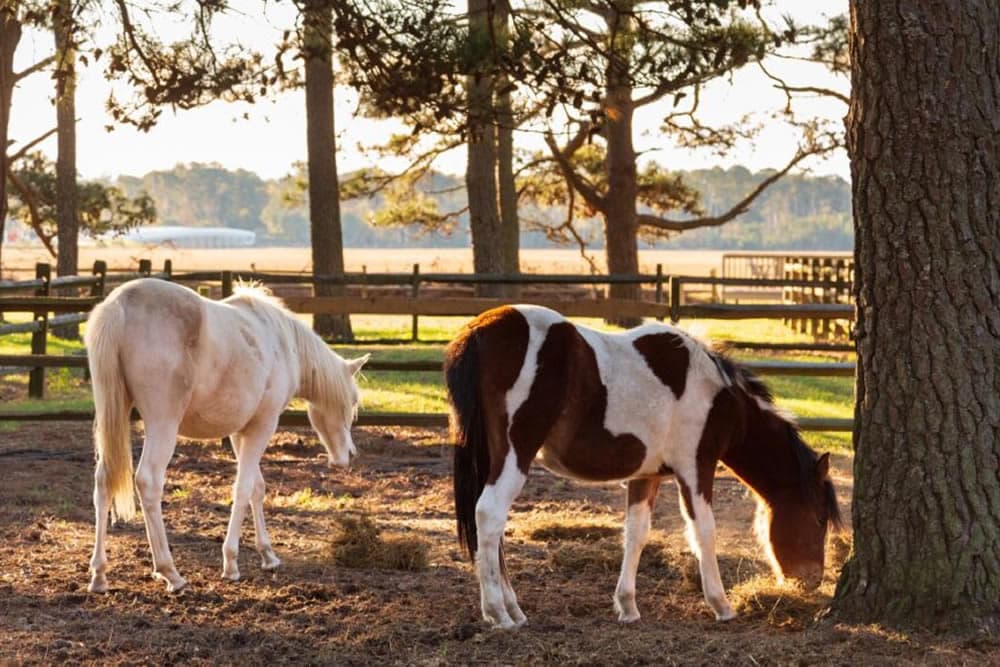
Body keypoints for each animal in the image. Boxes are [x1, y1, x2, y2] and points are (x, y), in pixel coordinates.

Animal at [84, 279, 368, 594]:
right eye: (352, 402)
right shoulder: (263, 426)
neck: (284, 344)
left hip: (115, 413)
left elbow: (257, 487)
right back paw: (170, 573)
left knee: (103, 480)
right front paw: (231, 563)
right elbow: (242, 489)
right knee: (148, 481)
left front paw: (268, 555)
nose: (347, 455)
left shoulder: (239, 433)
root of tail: (120, 304)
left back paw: (99, 575)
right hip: (162, 423)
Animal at [445, 305, 841, 629]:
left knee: (492, 526)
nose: (812, 580)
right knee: (489, 514)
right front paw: (722, 605)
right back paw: (498, 613)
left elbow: (636, 533)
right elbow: (704, 531)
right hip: (515, 454)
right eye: (819, 518)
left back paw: (513, 609)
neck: (718, 395)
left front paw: (628, 607)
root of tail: (479, 331)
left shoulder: (646, 476)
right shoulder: (695, 469)